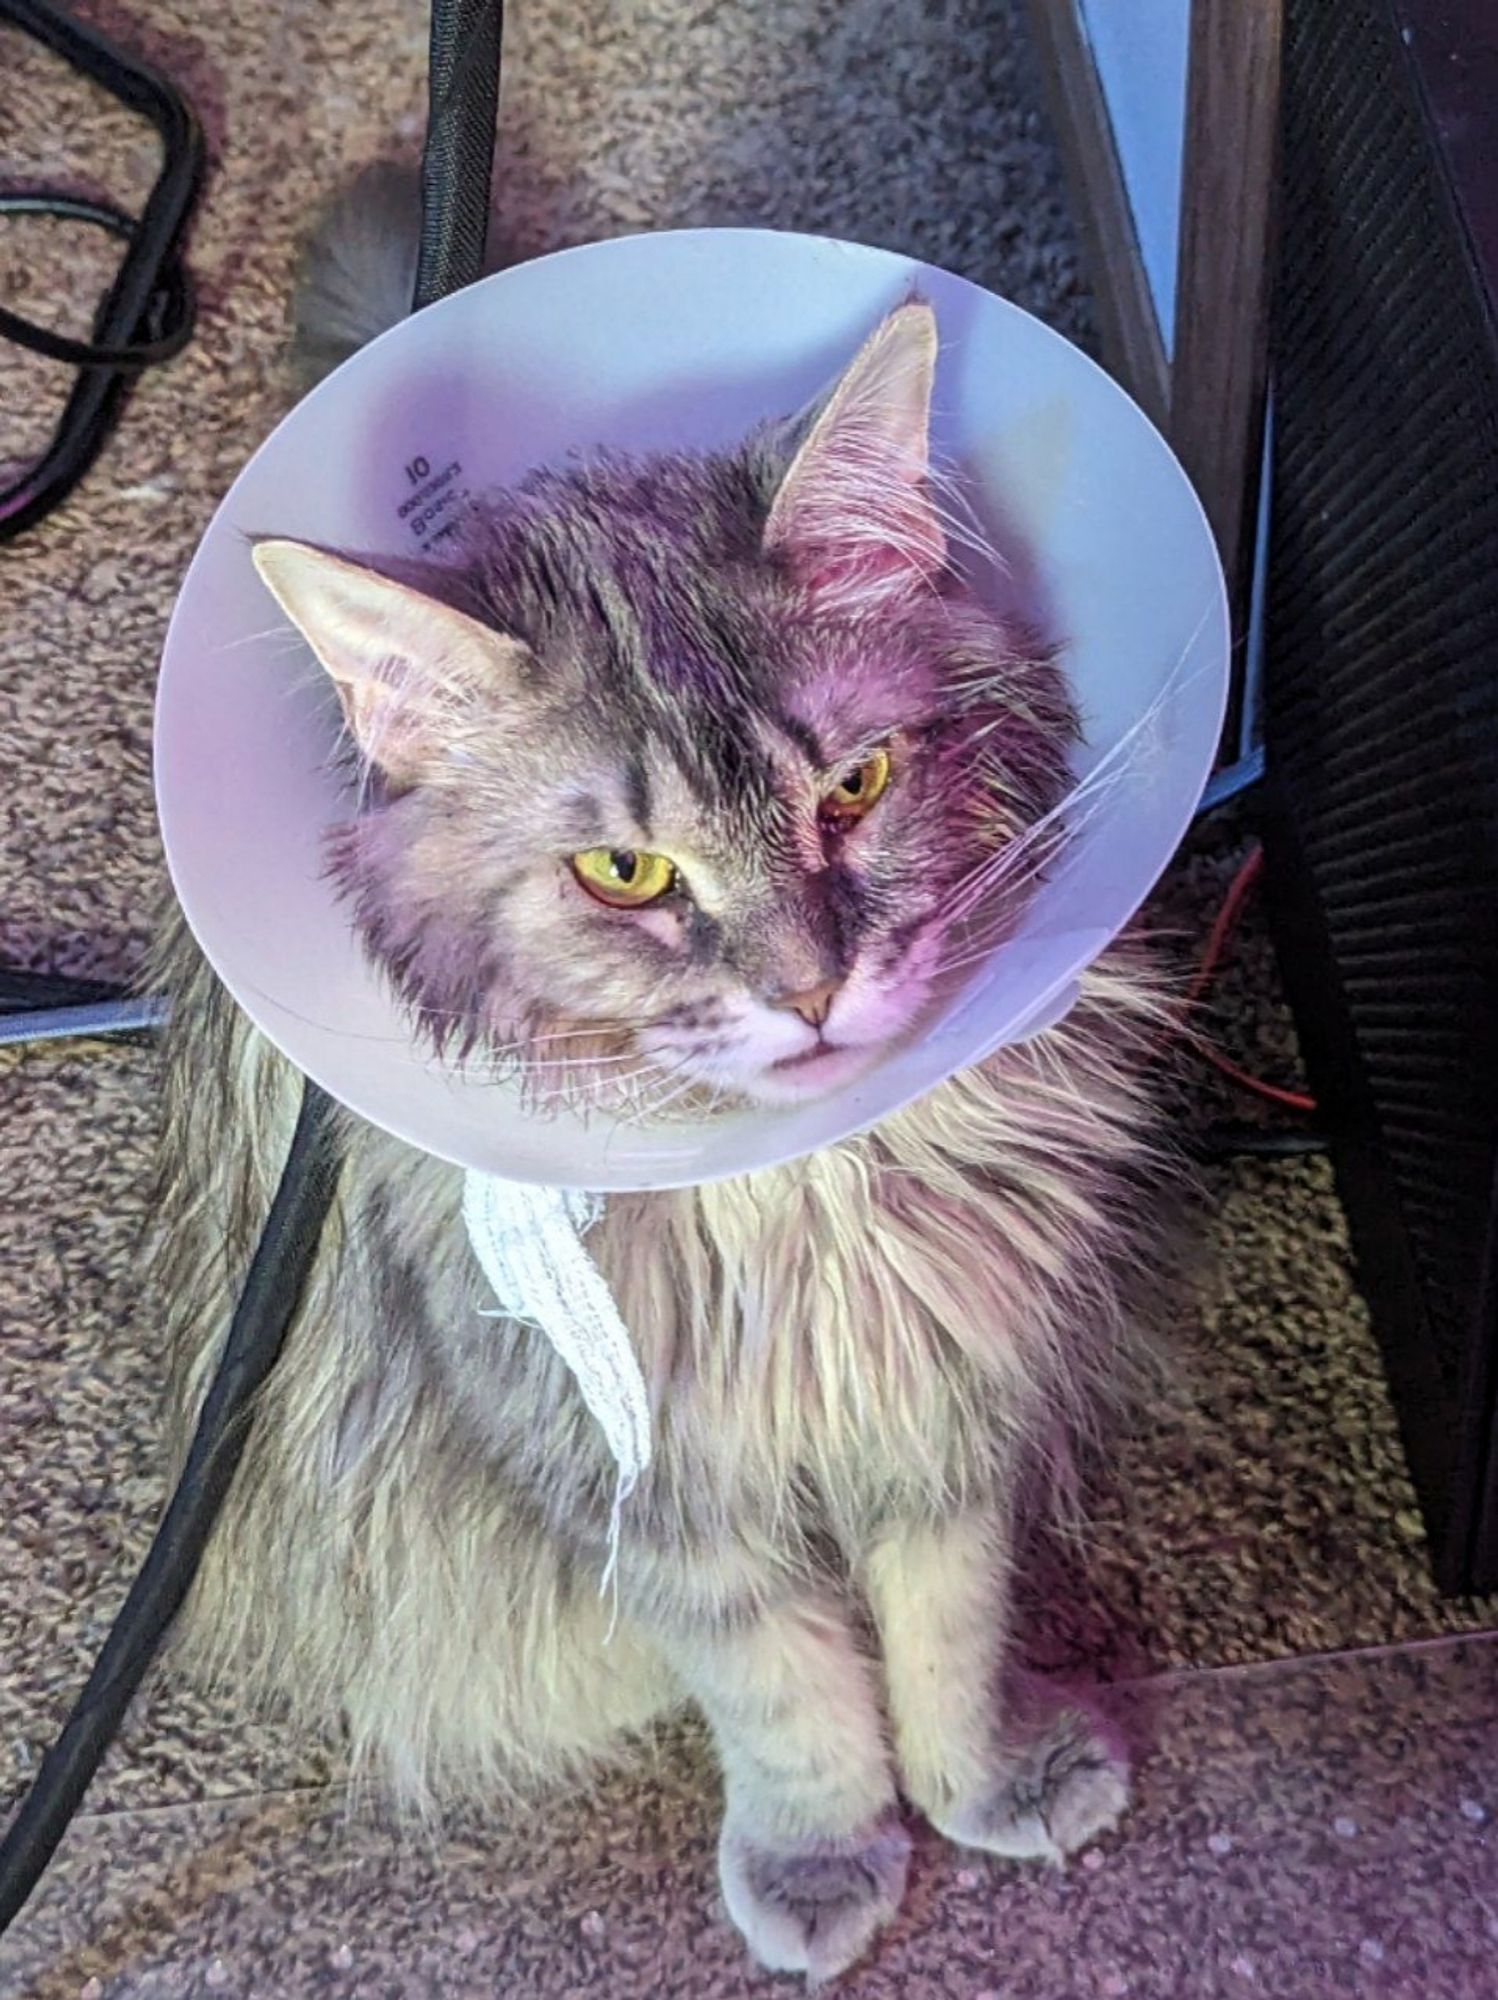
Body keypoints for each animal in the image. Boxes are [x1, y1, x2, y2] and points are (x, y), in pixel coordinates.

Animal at [155, 176, 1184, 1984]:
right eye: (626, 873)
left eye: (853, 787)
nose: (810, 994)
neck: (800, 1199)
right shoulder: (639, 1481)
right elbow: (781, 1688)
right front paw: (823, 1859)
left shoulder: (945, 1394)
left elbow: (947, 1624)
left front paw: (980, 1782)